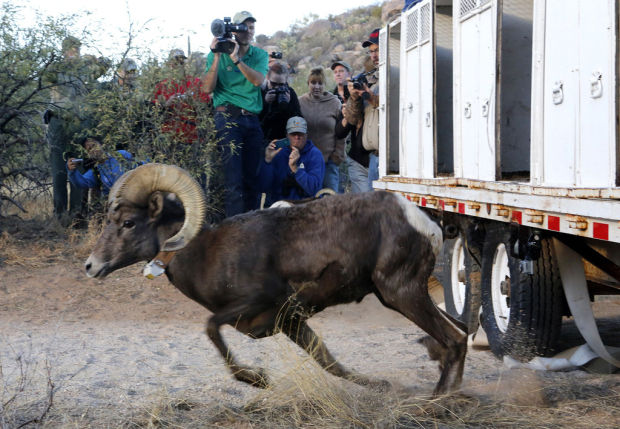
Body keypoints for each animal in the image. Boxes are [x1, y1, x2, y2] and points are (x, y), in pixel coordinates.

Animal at [85, 164, 468, 394]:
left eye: (128, 223)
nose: (91, 266)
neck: (205, 254)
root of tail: (424, 222)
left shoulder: (256, 304)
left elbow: (211, 327)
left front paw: (257, 379)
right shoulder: (292, 323)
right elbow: (331, 363)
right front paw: (377, 385)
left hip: (400, 293)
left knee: (455, 339)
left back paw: (437, 401)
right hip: (404, 296)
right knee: (461, 331)